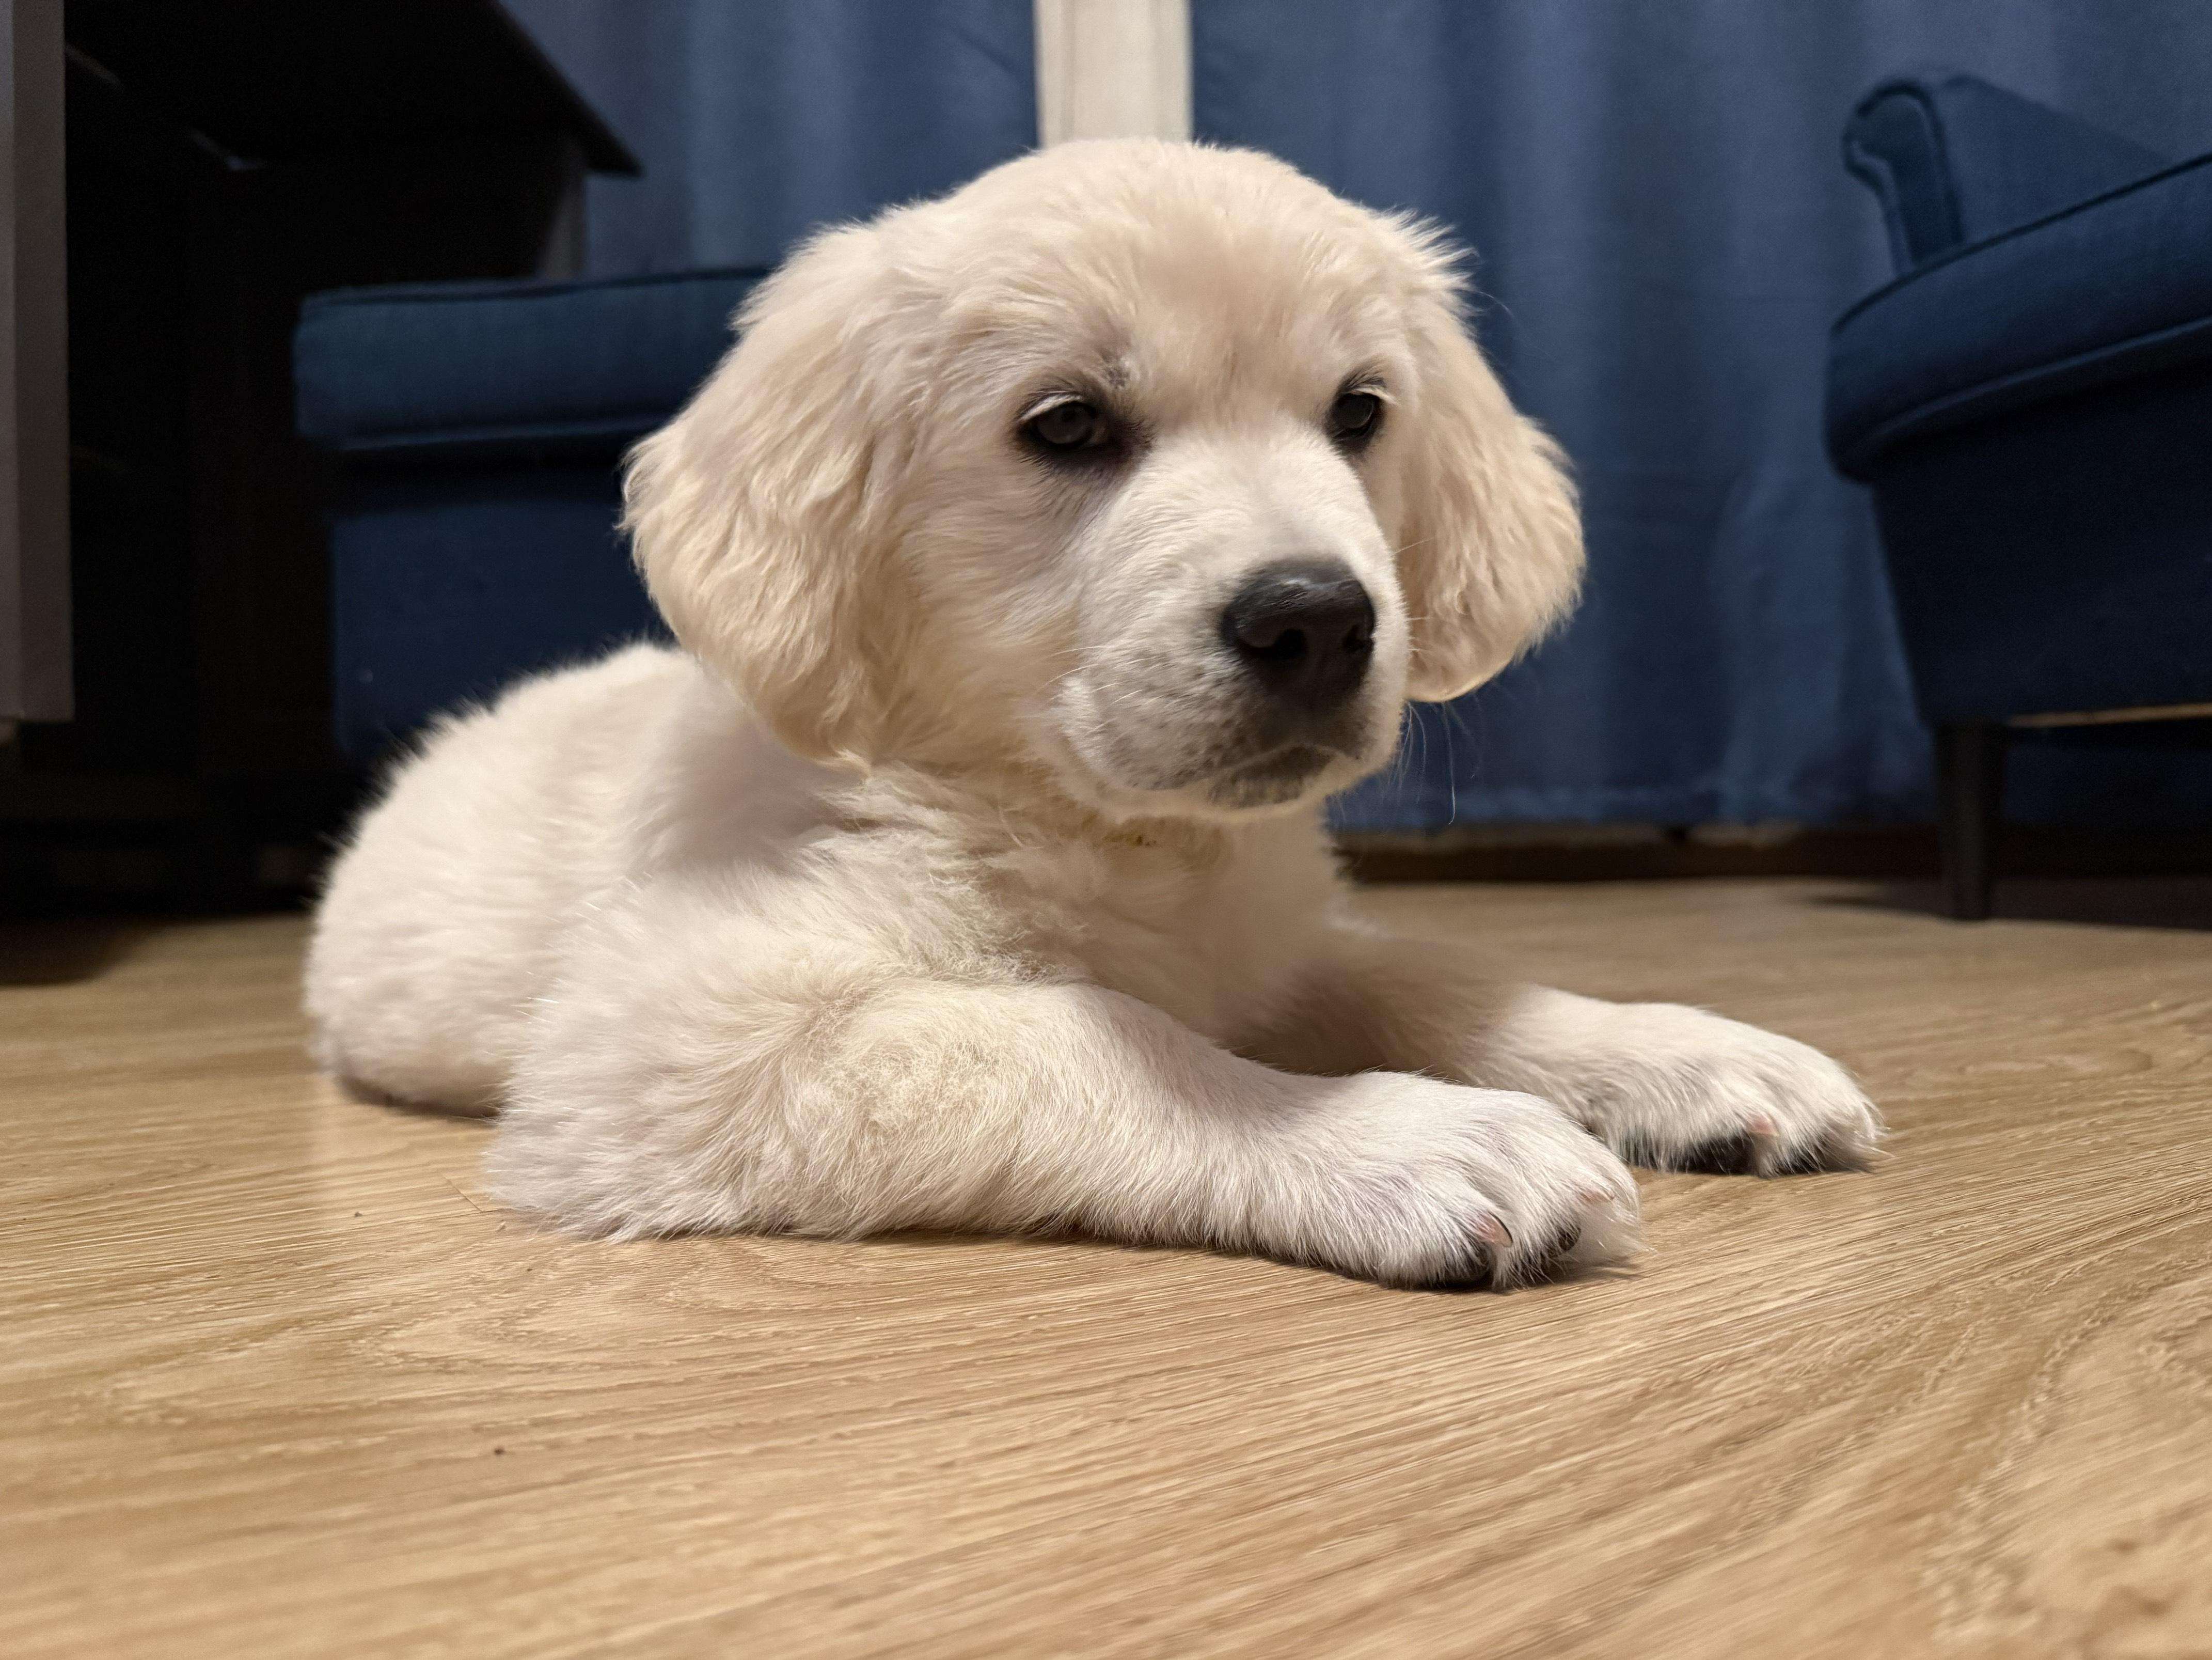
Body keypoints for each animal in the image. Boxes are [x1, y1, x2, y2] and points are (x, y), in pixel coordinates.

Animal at [306, 139, 1880, 1289]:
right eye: (1065, 425)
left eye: (1357, 413)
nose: (1317, 619)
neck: (1113, 830)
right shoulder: (672, 1032)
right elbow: (1089, 1033)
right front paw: (1413, 1137)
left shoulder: (1275, 940)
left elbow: (1439, 975)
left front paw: (1693, 1055)